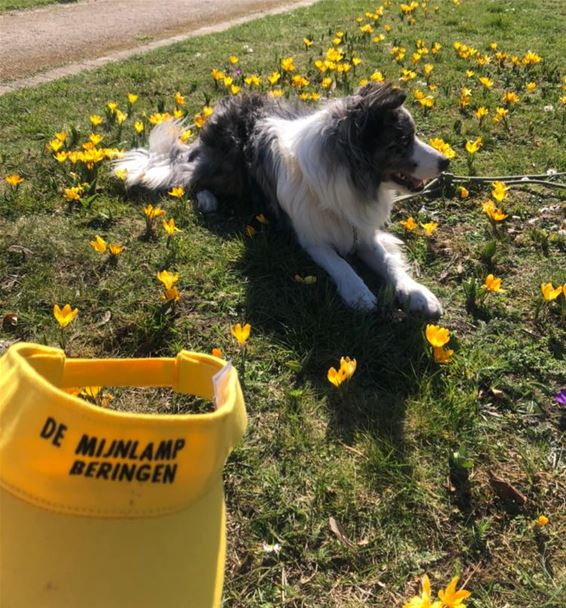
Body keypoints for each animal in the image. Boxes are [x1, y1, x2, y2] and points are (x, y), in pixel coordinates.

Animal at [117, 81, 450, 316]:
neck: (349, 176)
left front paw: (416, 292)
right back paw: (208, 199)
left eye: (412, 135)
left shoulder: (361, 230)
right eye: (403, 141)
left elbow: (388, 262)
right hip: (229, 170)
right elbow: (340, 263)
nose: (446, 162)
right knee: (193, 178)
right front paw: (358, 292)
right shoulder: (311, 236)